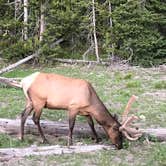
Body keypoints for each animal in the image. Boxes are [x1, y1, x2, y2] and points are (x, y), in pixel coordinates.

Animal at [0, 72, 143, 149]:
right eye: (118, 132)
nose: (120, 146)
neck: (90, 100)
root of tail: (24, 81)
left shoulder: (85, 112)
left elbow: (91, 124)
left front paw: (97, 139)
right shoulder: (73, 107)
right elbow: (71, 125)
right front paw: (70, 142)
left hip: (29, 101)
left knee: (23, 115)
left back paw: (22, 137)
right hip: (39, 101)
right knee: (35, 118)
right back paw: (44, 139)